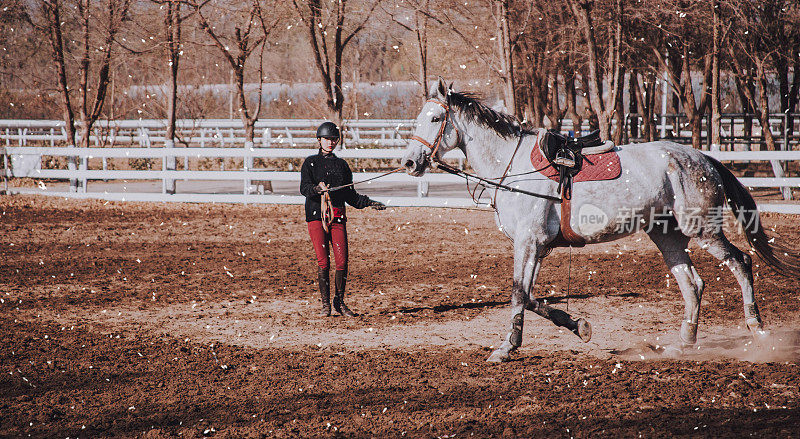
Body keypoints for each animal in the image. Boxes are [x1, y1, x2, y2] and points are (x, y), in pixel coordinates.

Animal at [404, 77, 796, 362]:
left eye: (436, 119)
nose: (409, 162)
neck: (513, 167)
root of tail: (702, 158)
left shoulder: (528, 242)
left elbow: (518, 294)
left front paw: (506, 348)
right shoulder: (537, 247)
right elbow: (529, 296)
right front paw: (577, 326)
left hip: (702, 229)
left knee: (741, 262)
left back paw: (757, 329)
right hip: (666, 235)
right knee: (693, 284)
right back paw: (683, 342)